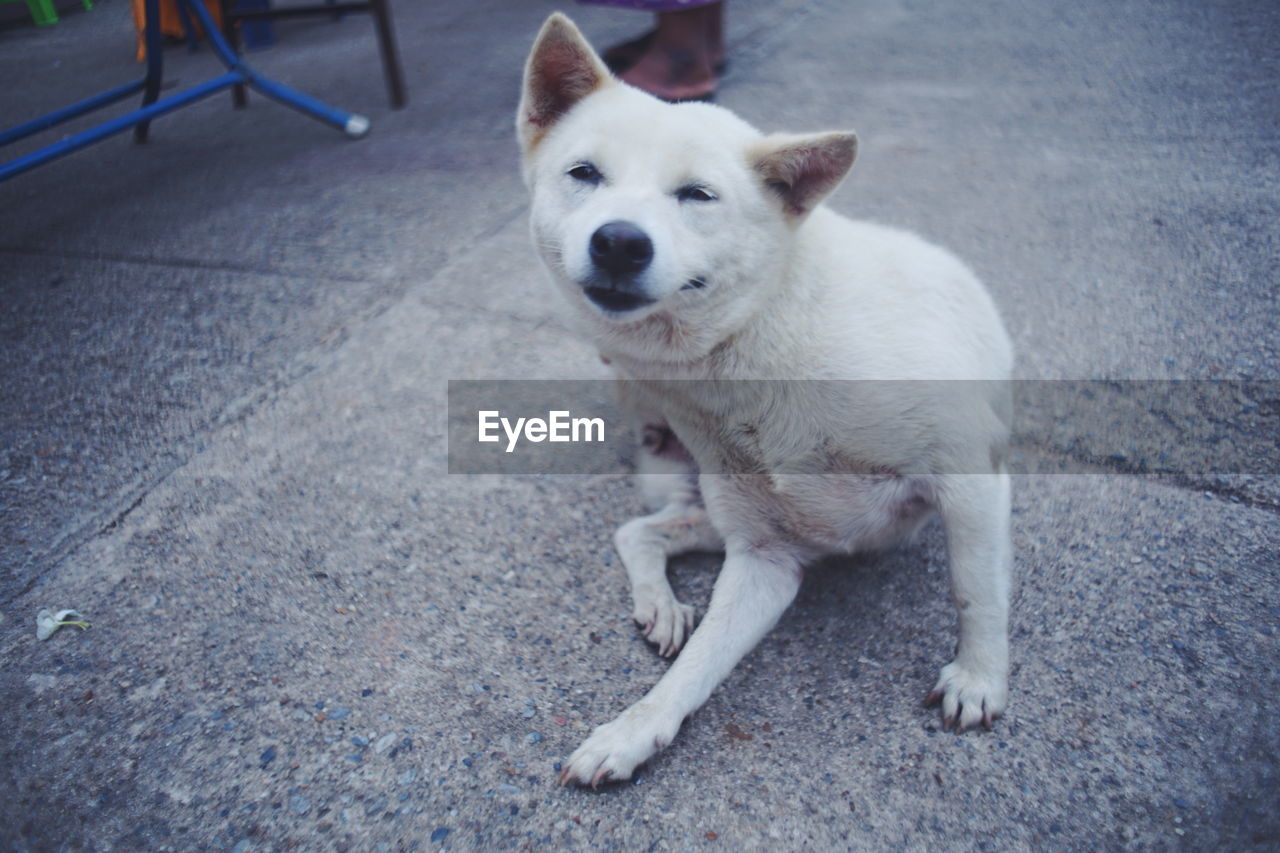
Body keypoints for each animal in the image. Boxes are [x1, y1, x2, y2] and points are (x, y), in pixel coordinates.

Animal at [514, 11, 1013, 783]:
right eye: (585, 174)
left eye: (697, 194)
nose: (619, 242)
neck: (754, 348)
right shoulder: (763, 560)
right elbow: (692, 670)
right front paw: (634, 731)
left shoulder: (970, 476)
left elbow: (975, 589)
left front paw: (980, 678)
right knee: (641, 531)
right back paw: (662, 605)